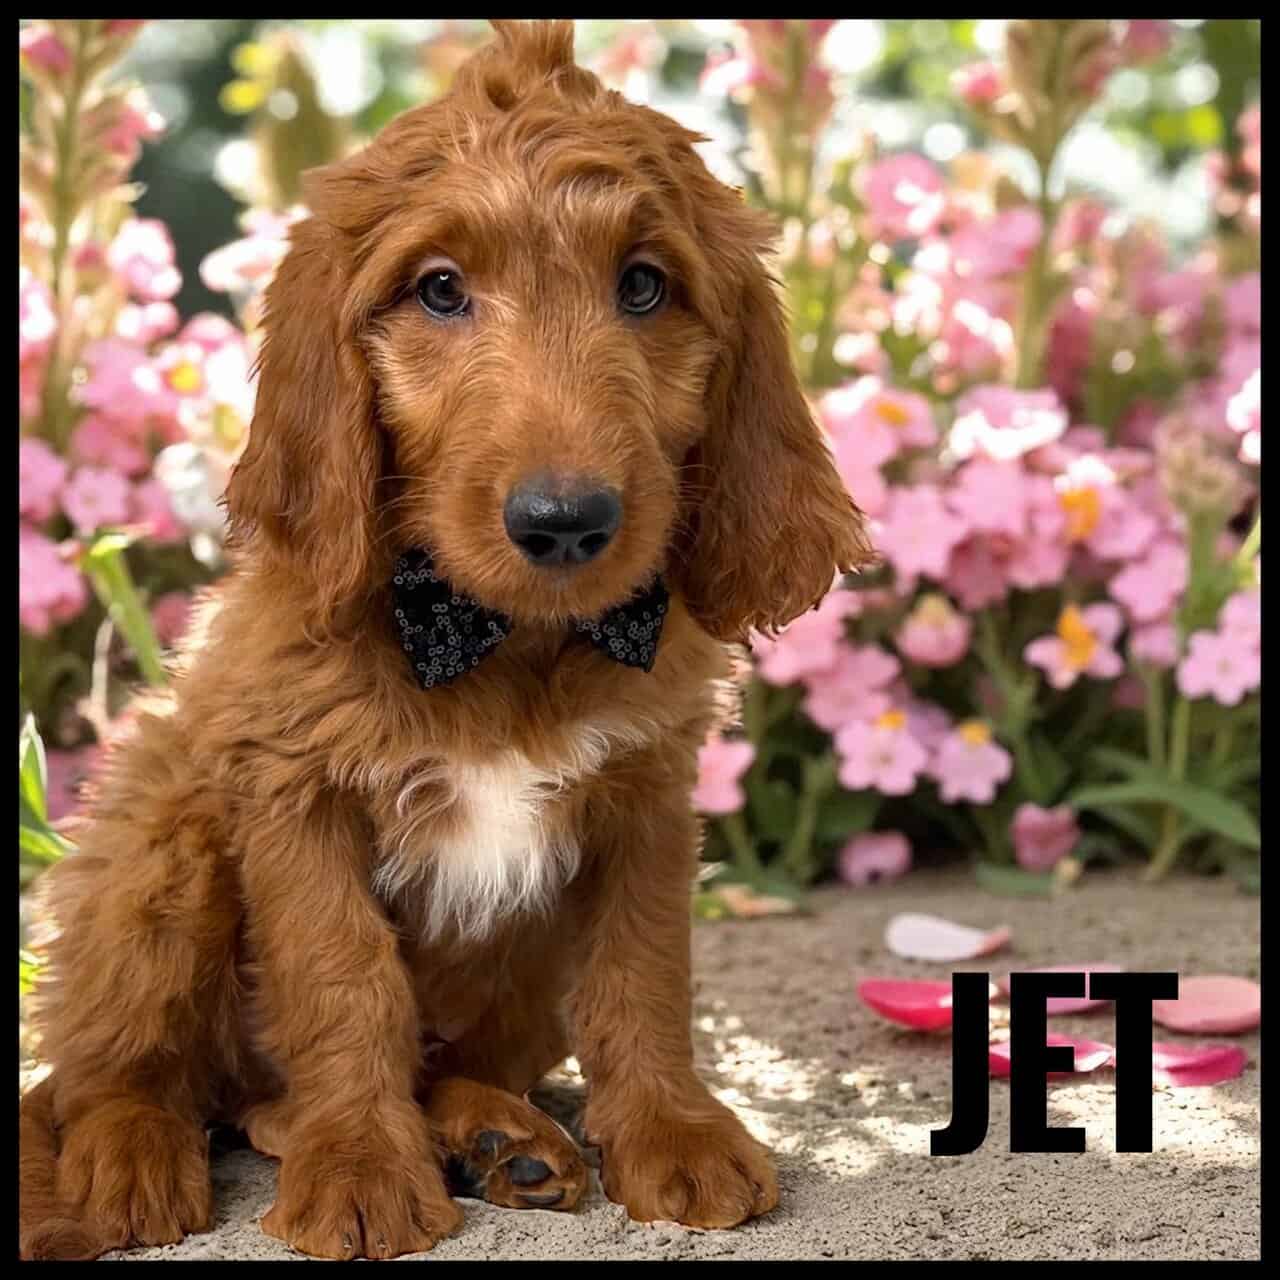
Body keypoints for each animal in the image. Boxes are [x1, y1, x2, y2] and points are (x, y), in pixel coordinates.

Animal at [19, 19, 870, 1260]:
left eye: (643, 284)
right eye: (438, 289)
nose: (564, 521)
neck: (502, 645)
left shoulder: (646, 796)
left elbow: (643, 971)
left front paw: (671, 1131)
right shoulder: (294, 793)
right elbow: (343, 979)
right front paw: (361, 1167)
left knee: (315, 1090)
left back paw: (495, 1134)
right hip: (156, 834)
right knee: (120, 1075)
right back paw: (133, 1156)